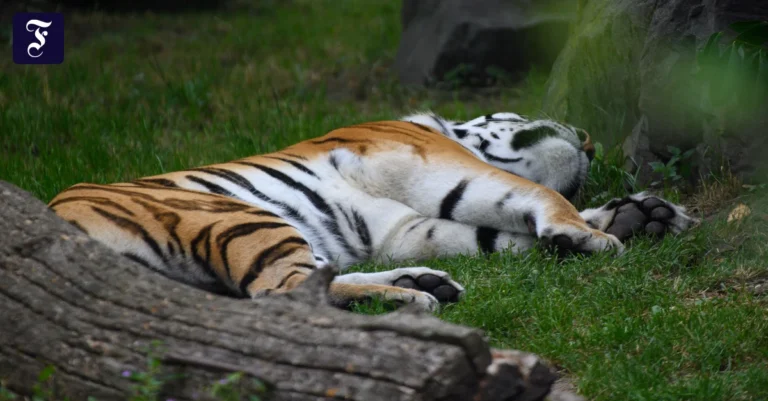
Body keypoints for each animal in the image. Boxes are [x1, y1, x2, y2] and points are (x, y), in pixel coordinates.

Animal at [49, 112, 699, 312]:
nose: (589, 140)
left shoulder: (407, 227)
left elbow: (500, 232)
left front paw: (644, 216)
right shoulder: (436, 163)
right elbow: (539, 197)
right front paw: (593, 235)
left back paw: (420, 286)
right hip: (232, 214)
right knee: (283, 295)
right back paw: (410, 299)